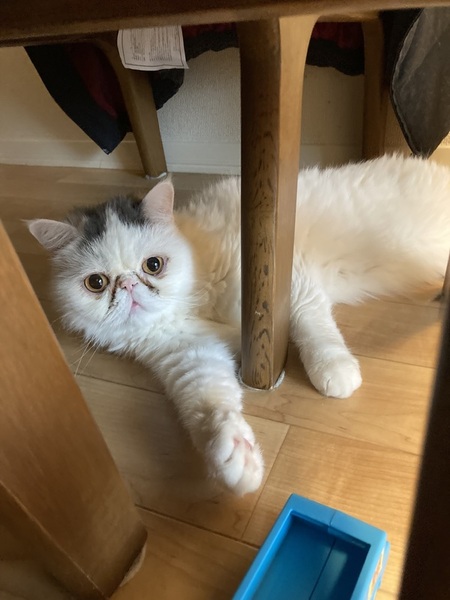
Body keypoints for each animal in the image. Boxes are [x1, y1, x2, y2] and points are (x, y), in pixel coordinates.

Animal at [28, 154, 450, 496]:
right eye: (97, 284)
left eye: (153, 265)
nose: (130, 287)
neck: (192, 300)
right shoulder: (193, 356)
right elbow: (209, 406)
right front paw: (235, 459)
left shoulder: (285, 284)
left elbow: (314, 328)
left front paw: (334, 372)